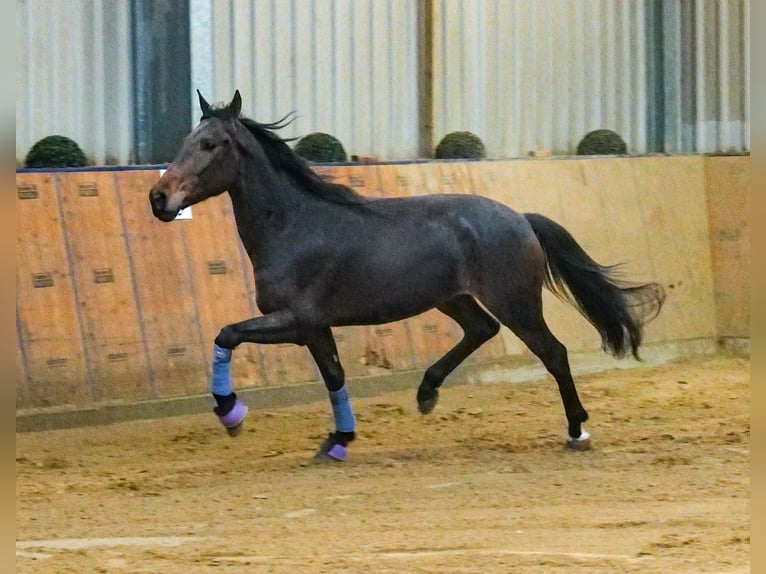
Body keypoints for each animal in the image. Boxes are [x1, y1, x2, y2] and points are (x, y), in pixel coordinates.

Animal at [148, 92, 664, 464]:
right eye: (186, 141)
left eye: (209, 144)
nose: (159, 198)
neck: (293, 225)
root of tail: (520, 217)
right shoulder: (315, 328)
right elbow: (334, 375)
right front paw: (339, 440)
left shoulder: (294, 321)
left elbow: (226, 335)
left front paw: (231, 414)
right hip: (452, 298)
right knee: (482, 329)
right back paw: (426, 393)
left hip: (516, 303)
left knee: (552, 353)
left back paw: (577, 431)